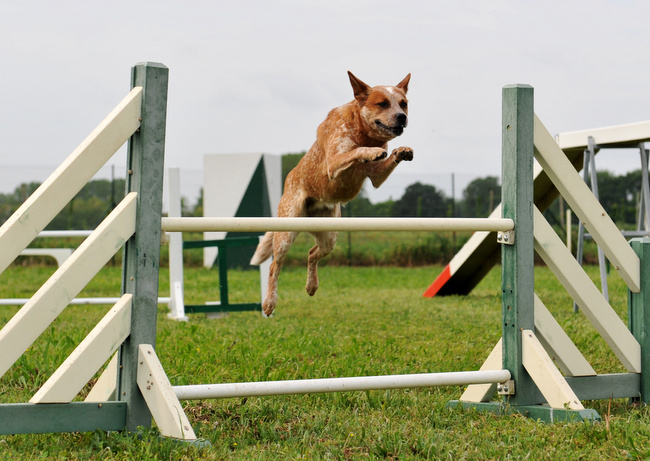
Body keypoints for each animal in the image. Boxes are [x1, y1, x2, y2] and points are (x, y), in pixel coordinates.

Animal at [251, 71, 413, 316]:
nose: (402, 117)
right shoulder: (334, 163)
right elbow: (356, 151)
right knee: (274, 264)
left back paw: (311, 286)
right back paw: (269, 303)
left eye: (403, 103)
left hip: (330, 236)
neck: (363, 132)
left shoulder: (376, 177)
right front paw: (370, 151)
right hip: (287, 231)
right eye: (383, 103)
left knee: (312, 252)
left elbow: (385, 159)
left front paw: (401, 151)